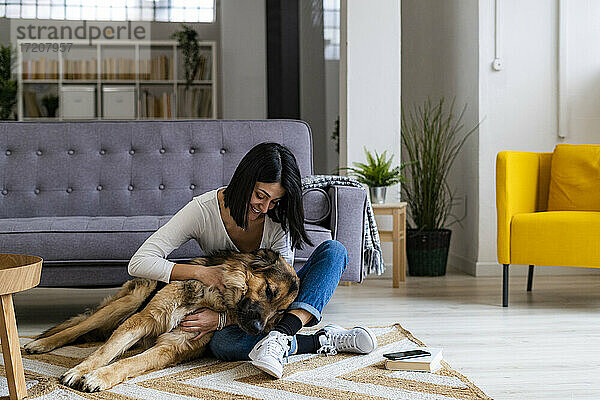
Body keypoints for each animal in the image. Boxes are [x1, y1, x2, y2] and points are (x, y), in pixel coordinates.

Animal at [24, 248, 300, 392]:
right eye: (269, 291)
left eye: (279, 314)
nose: (257, 329)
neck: (214, 296)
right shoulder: (143, 318)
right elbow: (104, 352)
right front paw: (80, 370)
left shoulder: (171, 347)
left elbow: (129, 362)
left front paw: (99, 377)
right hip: (127, 303)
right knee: (77, 328)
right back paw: (40, 343)